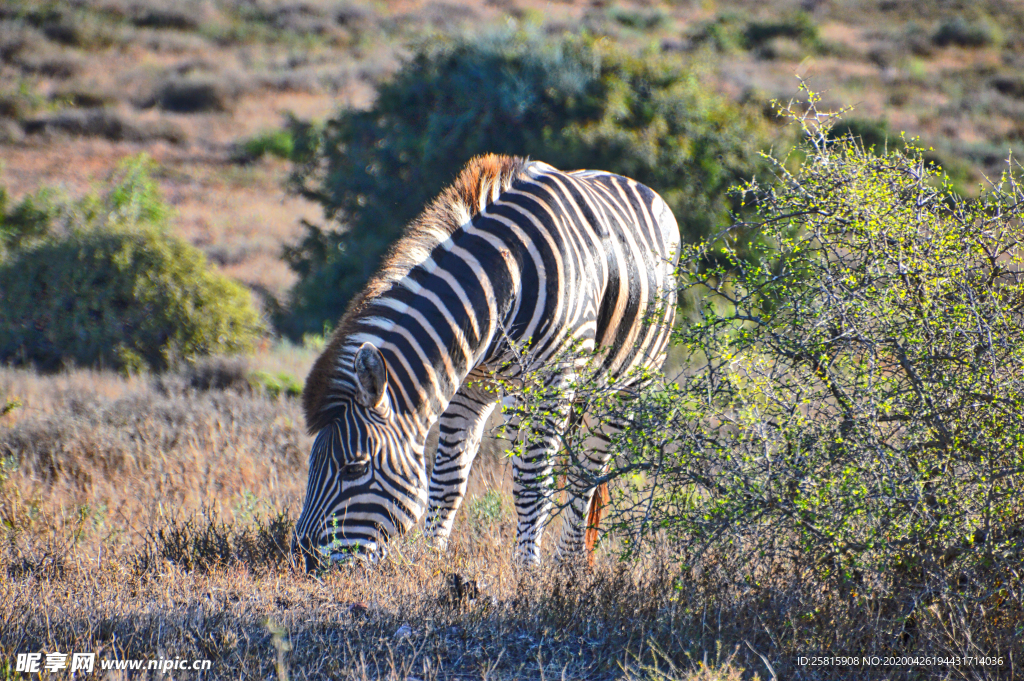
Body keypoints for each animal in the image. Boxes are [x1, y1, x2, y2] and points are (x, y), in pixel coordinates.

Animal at [292, 155, 675, 569]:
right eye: (311, 465)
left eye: (356, 468)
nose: (301, 560)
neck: (503, 284)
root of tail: (638, 184)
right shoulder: (471, 383)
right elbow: (448, 479)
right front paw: (431, 560)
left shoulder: (552, 382)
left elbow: (531, 482)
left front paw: (526, 571)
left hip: (628, 384)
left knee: (585, 473)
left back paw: (568, 566)